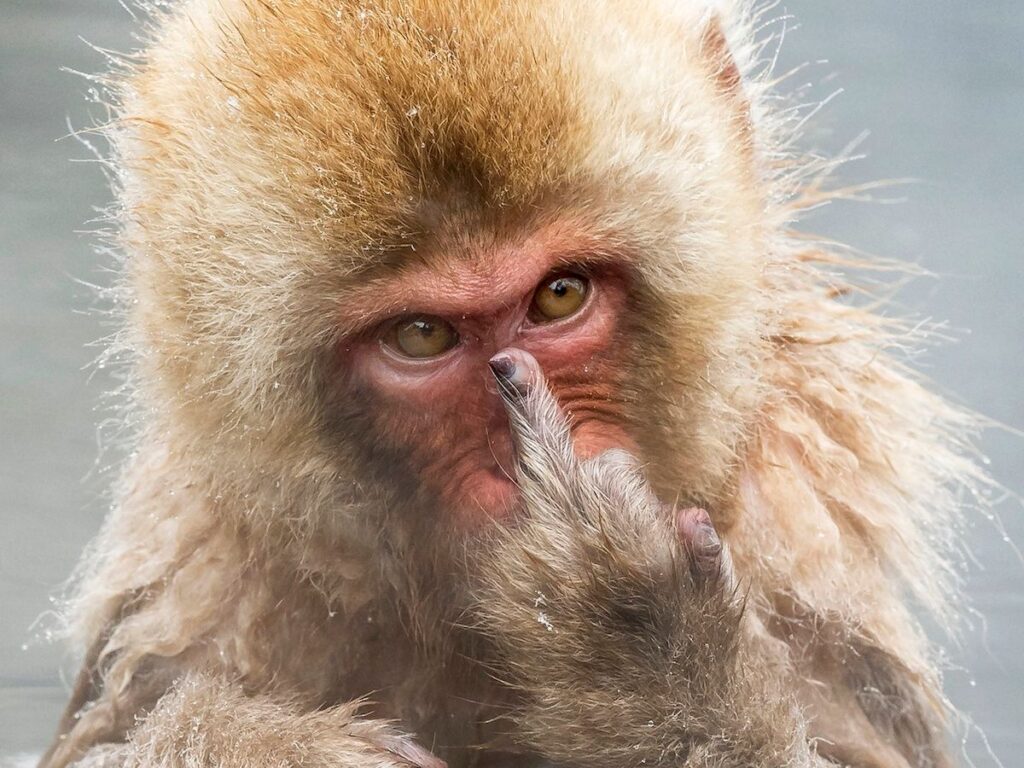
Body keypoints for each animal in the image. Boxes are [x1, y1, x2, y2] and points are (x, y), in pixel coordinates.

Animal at [39, 1, 981, 767]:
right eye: (421, 336)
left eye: (560, 294)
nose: (515, 465)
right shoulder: (200, 578)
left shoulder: (801, 531)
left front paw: (636, 641)